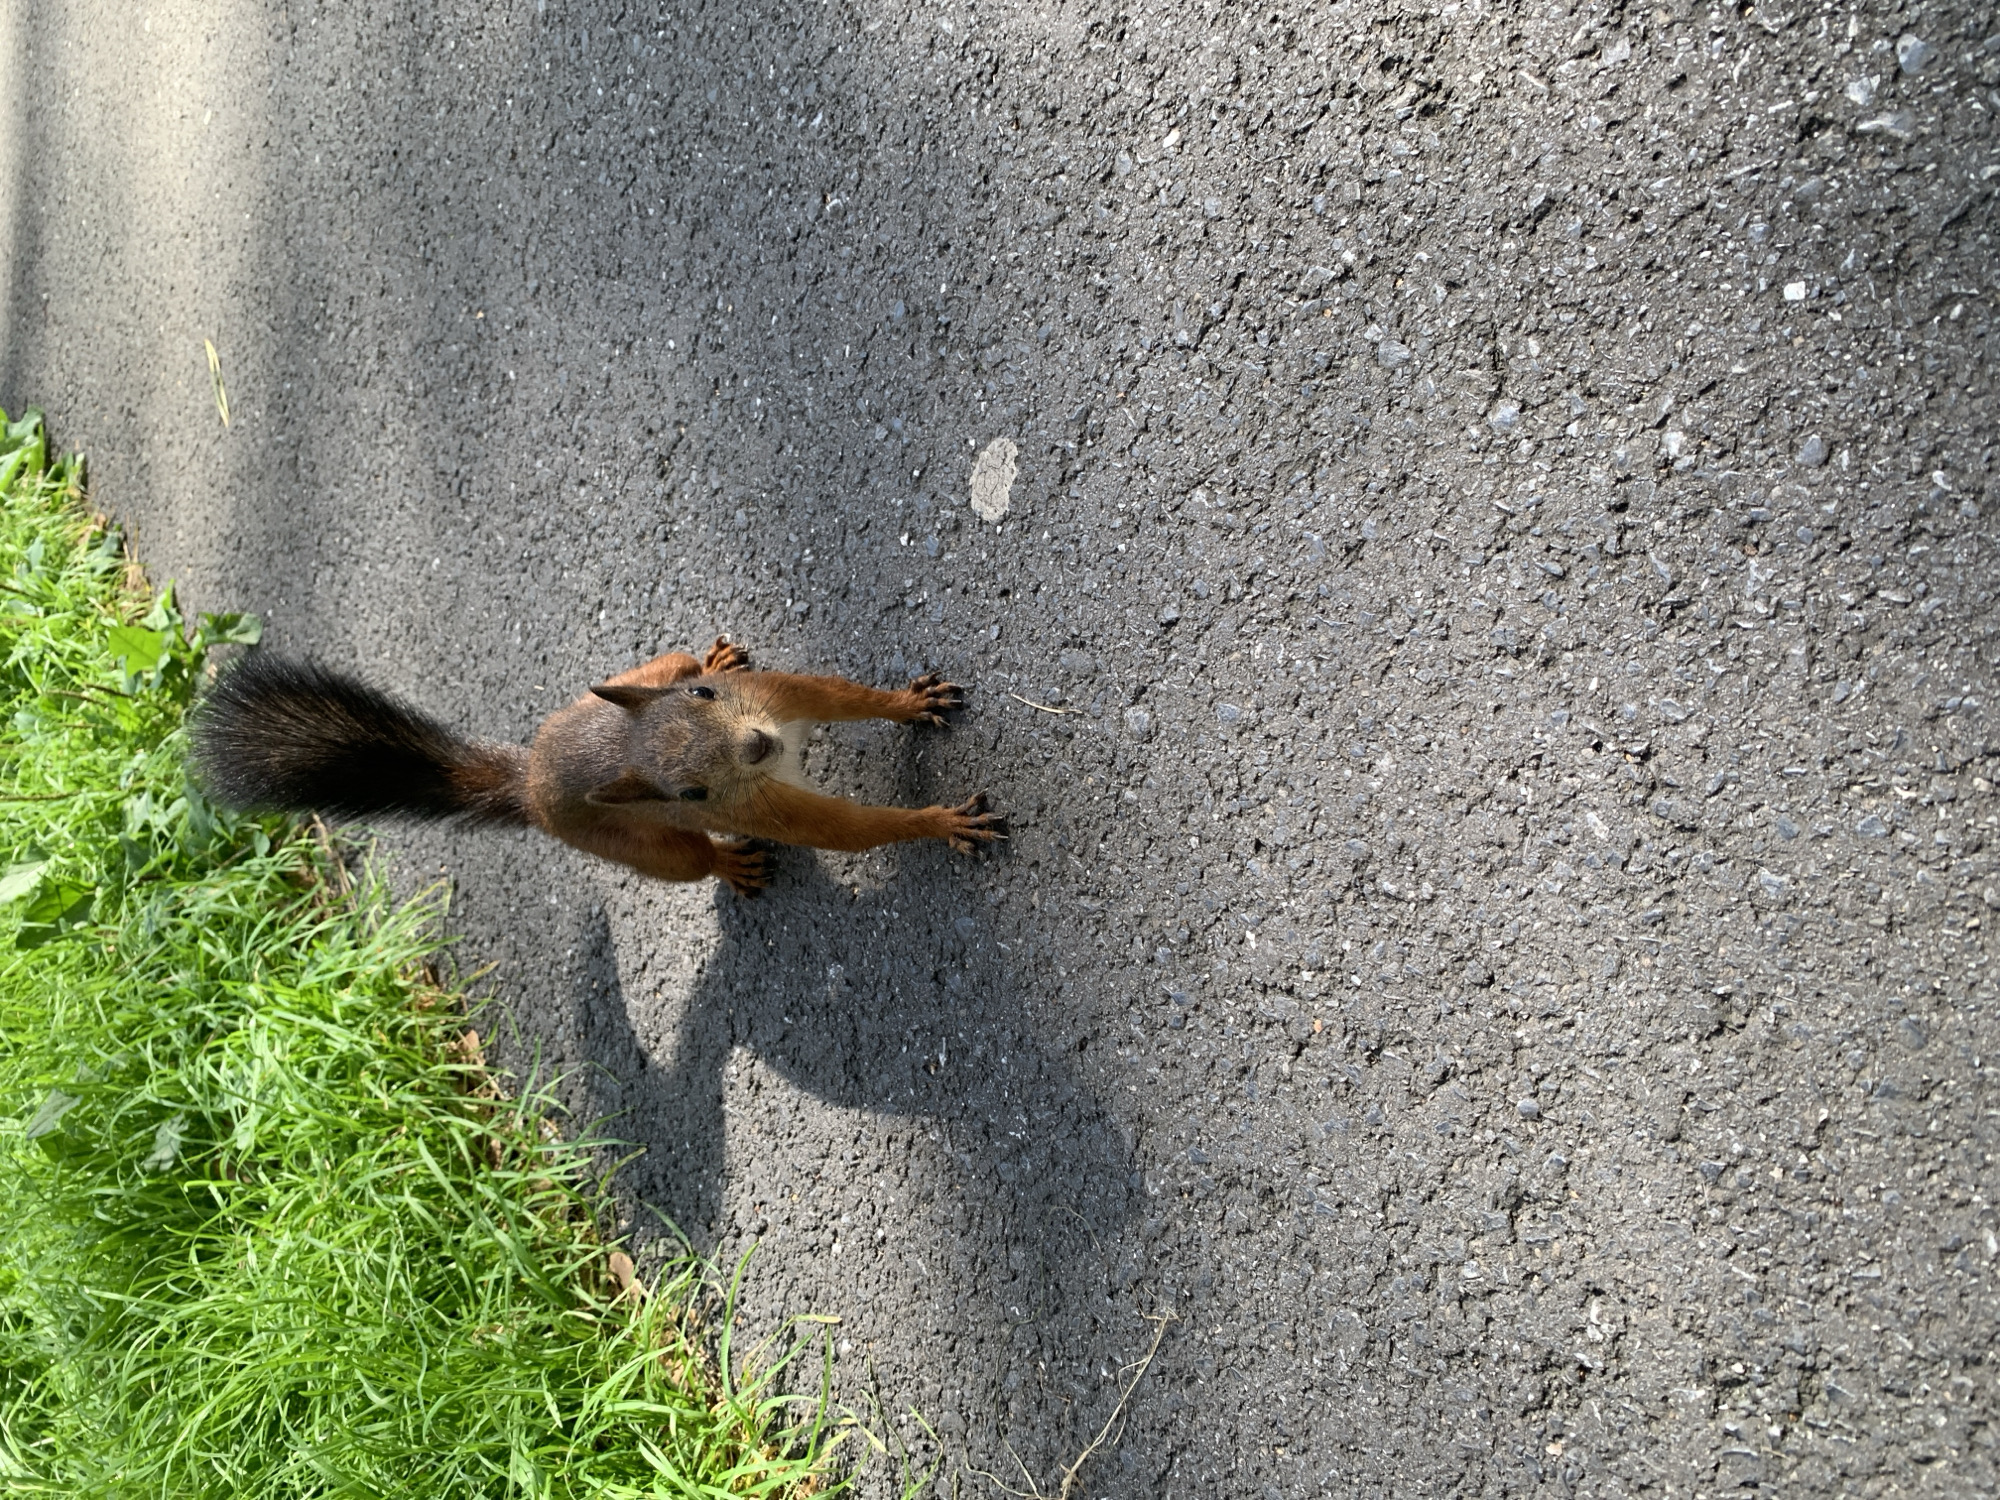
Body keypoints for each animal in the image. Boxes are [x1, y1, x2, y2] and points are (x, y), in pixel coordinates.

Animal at [191, 637, 1005, 896]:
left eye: (704, 700)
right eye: (689, 790)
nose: (756, 749)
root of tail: (528, 783)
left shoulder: (775, 697)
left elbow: (845, 695)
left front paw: (911, 702)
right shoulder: (758, 806)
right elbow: (852, 830)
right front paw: (939, 824)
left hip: (647, 670)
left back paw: (713, 651)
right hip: (633, 844)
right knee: (689, 862)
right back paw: (730, 867)